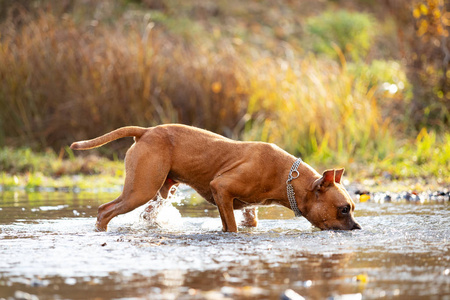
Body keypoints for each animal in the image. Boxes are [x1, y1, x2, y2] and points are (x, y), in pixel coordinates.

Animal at [70, 124, 362, 232]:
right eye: (343, 209)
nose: (358, 227)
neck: (289, 178)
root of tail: (146, 131)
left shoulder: (244, 206)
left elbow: (243, 221)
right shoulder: (221, 188)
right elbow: (231, 228)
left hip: (157, 191)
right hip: (138, 191)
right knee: (104, 210)